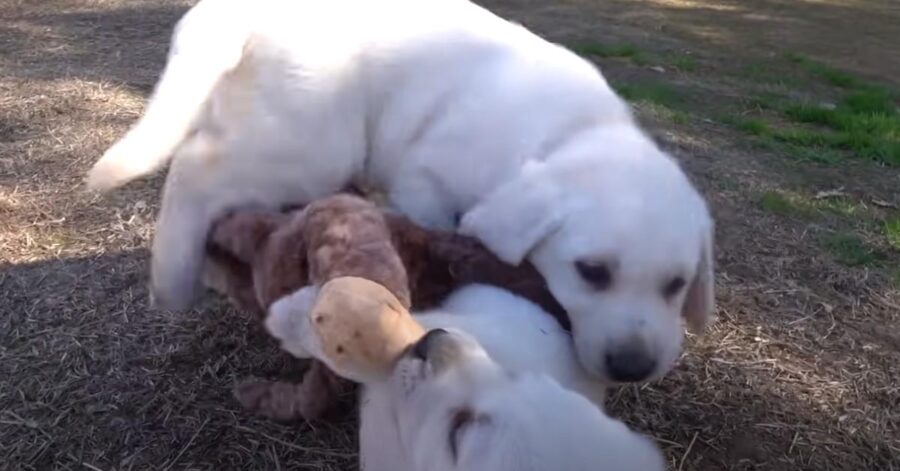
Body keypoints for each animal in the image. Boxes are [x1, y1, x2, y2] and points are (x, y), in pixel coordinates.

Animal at [88, 0, 712, 386]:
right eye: (591, 272)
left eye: (677, 285)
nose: (633, 367)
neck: (569, 135)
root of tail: (232, 9)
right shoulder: (426, 178)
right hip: (313, 142)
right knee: (194, 170)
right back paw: (172, 283)